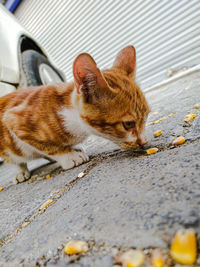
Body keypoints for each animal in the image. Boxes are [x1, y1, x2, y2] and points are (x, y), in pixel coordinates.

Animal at [0, 46, 149, 184]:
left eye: (146, 117)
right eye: (128, 124)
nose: (144, 142)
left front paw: (73, 148)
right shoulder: (12, 119)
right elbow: (47, 147)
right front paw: (68, 156)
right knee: (15, 156)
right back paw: (21, 171)